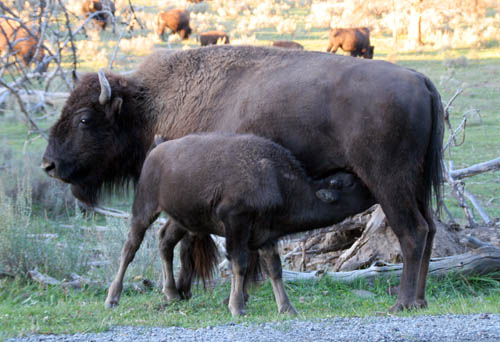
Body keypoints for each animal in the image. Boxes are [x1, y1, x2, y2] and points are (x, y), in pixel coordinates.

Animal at [104, 132, 376, 316]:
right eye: (348, 182)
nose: (372, 190)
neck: (276, 179)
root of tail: (158, 148)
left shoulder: (267, 235)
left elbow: (274, 269)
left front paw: (287, 308)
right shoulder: (236, 223)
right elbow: (240, 264)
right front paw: (237, 307)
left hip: (180, 219)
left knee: (165, 242)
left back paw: (171, 294)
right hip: (144, 209)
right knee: (130, 248)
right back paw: (112, 298)